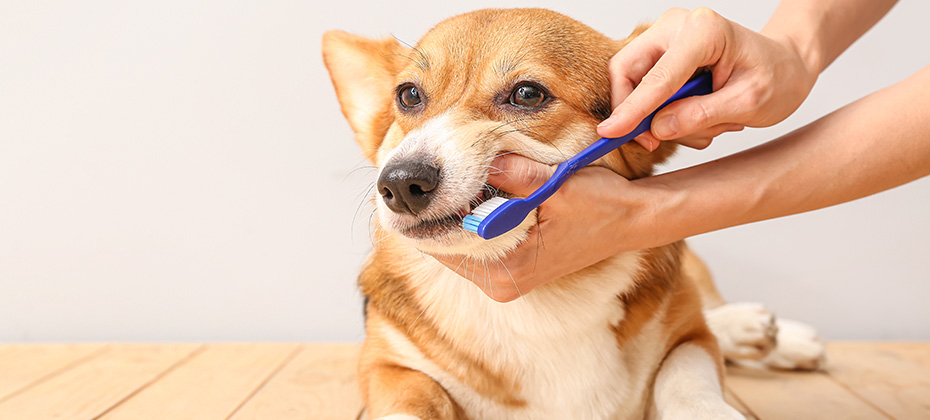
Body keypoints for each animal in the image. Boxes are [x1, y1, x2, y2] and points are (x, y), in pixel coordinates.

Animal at [322, 7, 824, 420]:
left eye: (527, 94)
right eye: (408, 96)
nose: (400, 184)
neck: (540, 301)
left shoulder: (688, 340)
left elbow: (686, 381)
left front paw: (712, 410)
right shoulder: (387, 365)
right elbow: (412, 398)